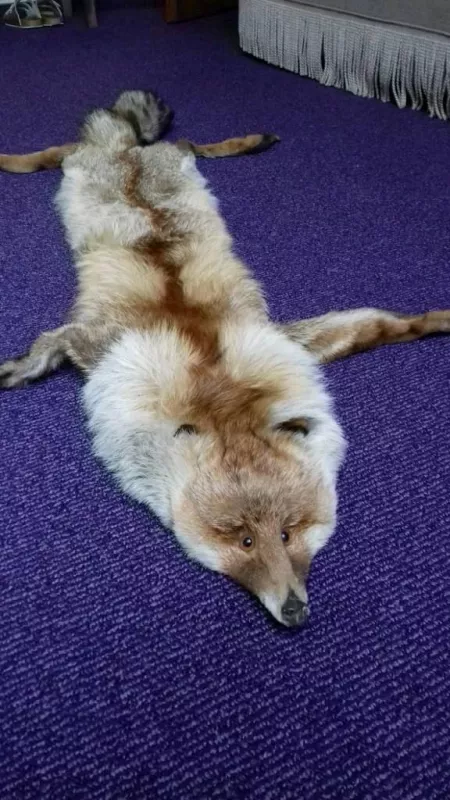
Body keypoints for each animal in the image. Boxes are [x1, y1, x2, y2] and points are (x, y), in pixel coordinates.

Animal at [1, 90, 449, 627]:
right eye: (243, 539)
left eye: (289, 531)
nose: (294, 611)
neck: (216, 385)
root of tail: (127, 153)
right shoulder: (100, 346)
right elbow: (46, 344)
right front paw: (17, 369)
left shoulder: (288, 341)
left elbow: (381, 325)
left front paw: (436, 320)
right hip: (83, 163)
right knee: (59, 150)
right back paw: (10, 159)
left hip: (164, 159)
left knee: (185, 142)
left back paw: (246, 141)